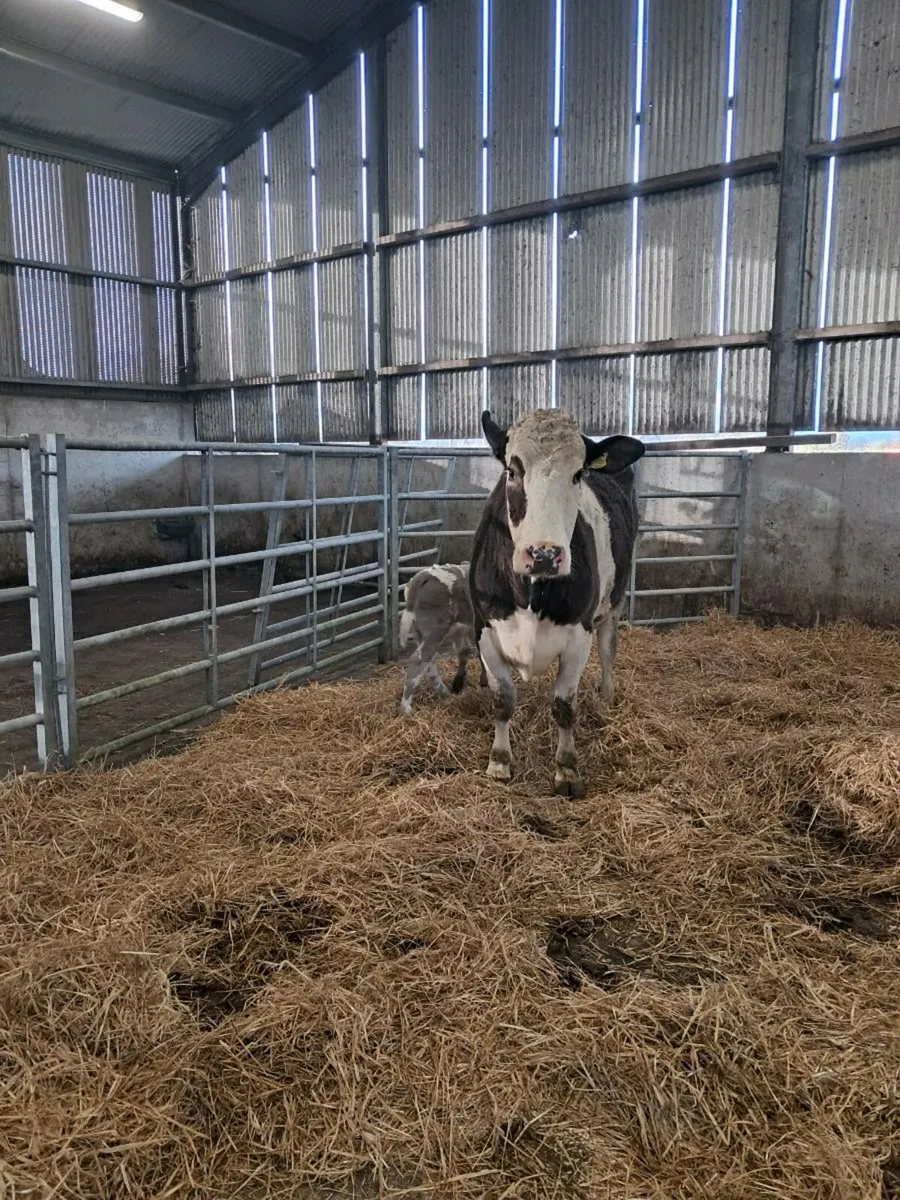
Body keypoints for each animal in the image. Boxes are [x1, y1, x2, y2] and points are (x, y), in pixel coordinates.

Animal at [398, 563, 478, 715]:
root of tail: (424, 575)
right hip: (435, 631)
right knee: (418, 660)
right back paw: (406, 709)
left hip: (423, 634)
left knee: (429, 662)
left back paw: (444, 692)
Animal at [469, 408, 645, 797]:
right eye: (512, 471)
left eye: (578, 473)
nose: (544, 554)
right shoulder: (485, 629)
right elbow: (502, 699)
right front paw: (499, 761)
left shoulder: (578, 635)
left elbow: (563, 705)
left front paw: (567, 770)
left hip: (613, 605)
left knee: (608, 651)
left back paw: (607, 697)